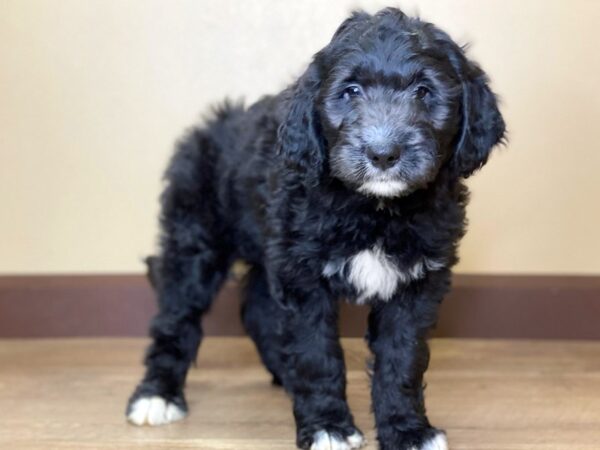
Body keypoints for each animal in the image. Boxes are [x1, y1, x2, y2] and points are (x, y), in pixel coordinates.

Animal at [126, 7, 506, 450]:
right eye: (351, 91)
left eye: (424, 92)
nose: (383, 153)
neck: (374, 209)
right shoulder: (303, 278)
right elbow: (315, 353)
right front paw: (328, 426)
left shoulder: (416, 283)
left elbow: (403, 359)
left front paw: (407, 431)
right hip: (195, 243)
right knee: (177, 317)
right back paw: (158, 395)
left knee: (257, 308)